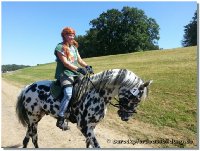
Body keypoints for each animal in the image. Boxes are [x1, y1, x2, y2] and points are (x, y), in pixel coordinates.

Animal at [15, 69, 152, 148]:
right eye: (136, 98)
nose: (126, 117)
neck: (97, 95)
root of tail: (27, 87)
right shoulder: (84, 127)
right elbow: (96, 145)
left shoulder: (92, 126)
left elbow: (88, 144)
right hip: (33, 118)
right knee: (34, 137)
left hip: (37, 117)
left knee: (28, 137)